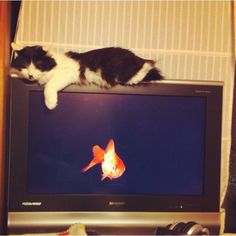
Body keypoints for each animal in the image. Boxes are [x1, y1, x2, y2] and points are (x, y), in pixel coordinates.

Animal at [10, 43, 162, 109]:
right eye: (24, 66)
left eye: (37, 65)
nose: (30, 75)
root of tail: (136, 57)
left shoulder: (70, 72)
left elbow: (49, 85)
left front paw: (50, 103)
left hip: (123, 72)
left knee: (147, 66)